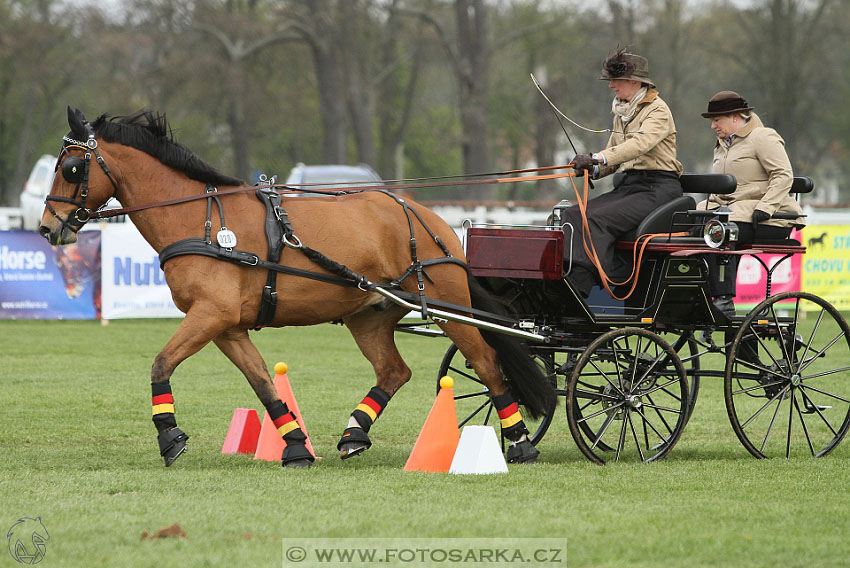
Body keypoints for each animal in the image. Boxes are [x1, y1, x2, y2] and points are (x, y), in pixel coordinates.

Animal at [41, 108, 556, 468]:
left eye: (71, 169)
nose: (48, 228)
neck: (197, 219)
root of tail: (428, 218)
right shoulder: (227, 326)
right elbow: (264, 384)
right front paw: (294, 446)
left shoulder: (210, 315)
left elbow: (161, 363)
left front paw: (169, 437)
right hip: (368, 315)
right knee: (394, 371)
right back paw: (354, 434)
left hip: (450, 307)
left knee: (486, 363)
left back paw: (519, 442)